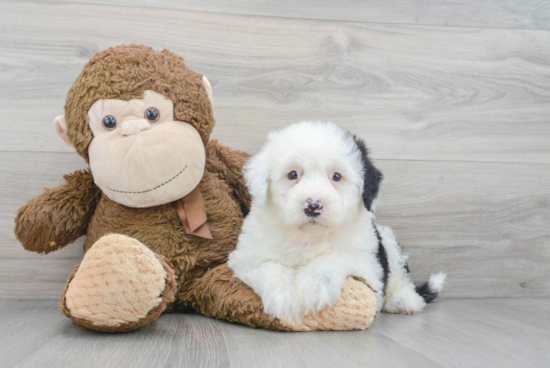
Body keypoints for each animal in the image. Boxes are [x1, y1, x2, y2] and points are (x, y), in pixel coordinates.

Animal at [229, 121, 448, 322]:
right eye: (292, 174)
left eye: (336, 176)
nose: (313, 206)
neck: (310, 235)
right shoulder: (246, 255)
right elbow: (270, 267)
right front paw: (284, 299)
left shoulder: (367, 262)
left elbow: (335, 256)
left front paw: (315, 287)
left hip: (388, 244)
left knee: (400, 279)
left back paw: (403, 301)